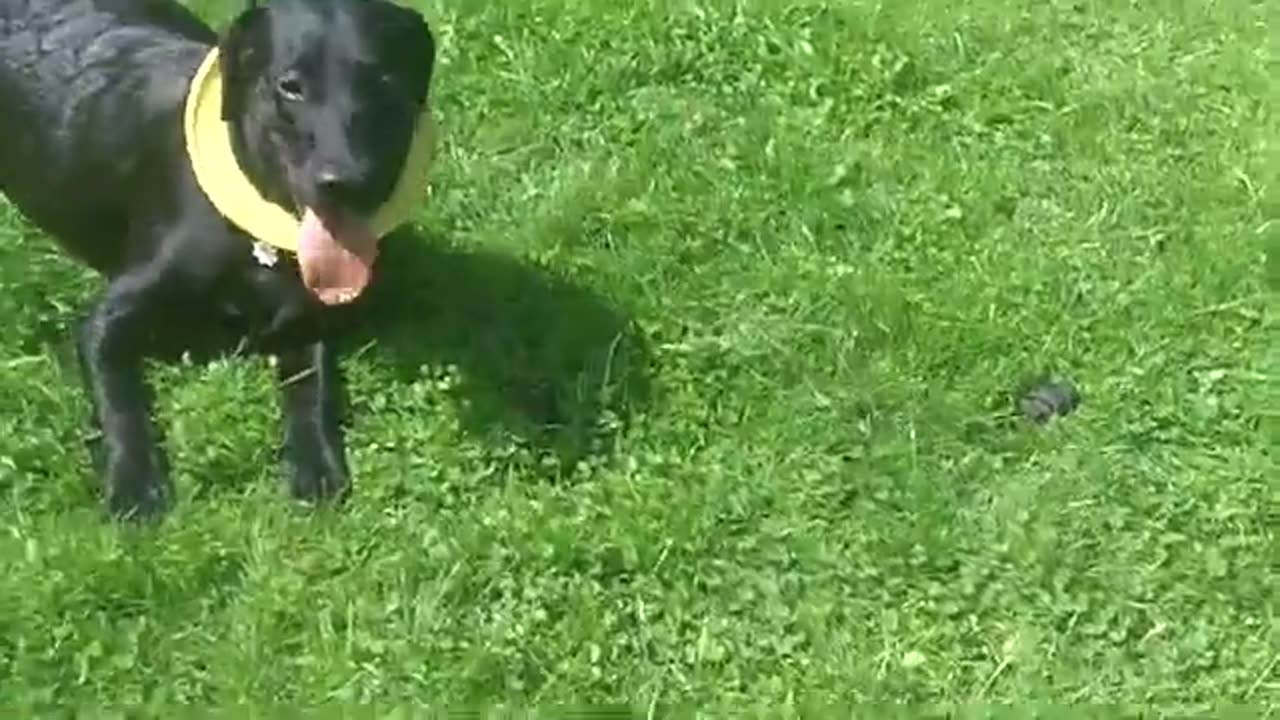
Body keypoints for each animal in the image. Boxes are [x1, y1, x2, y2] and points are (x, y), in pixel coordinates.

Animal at [0, 0, 437, 517]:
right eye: (290, 85)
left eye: (384, 81)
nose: (347, 182)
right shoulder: (107, 320)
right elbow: (120, 399)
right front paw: (134, 482)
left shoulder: (308, 321)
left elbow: (313, 390)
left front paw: (316, 463)